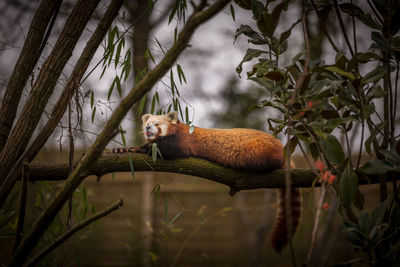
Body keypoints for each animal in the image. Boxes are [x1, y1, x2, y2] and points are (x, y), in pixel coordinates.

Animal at [112, 112, 300, 254]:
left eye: (157, 124)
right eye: (148, 123)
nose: (147, 128)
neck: (179, 130)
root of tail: (280, 145)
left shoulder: (182, 142)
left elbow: (166, 150)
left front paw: (141, 148)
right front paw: (123, 148)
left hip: (257, 150)